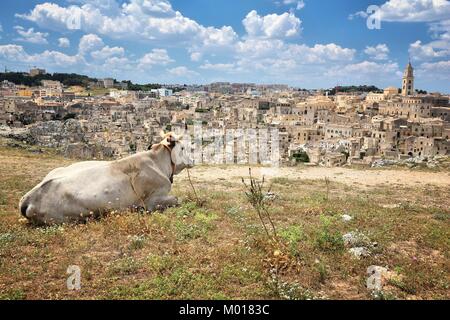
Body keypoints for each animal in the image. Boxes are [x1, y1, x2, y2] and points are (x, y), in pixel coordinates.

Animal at [18, 131, 193, 225]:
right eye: (182, 147)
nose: (193, 160)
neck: (157, 161)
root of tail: (29, 198)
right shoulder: (152, 201)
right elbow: (178, 199)